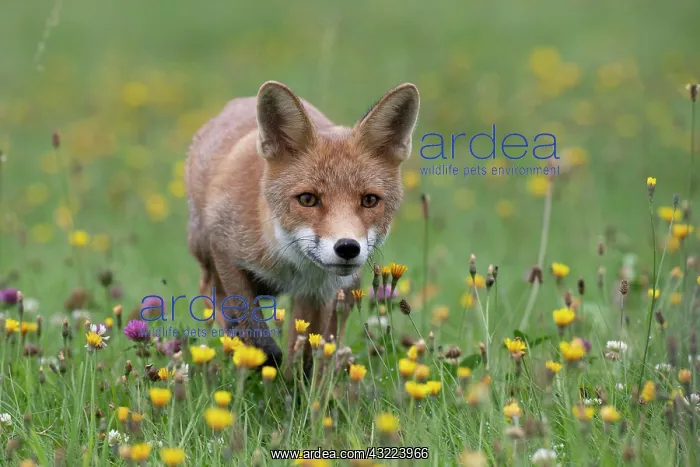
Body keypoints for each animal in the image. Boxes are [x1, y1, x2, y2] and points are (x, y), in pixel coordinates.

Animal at [185, 80, 420, 376]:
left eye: (369, 200)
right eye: (307, 199)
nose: (347, 248)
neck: (288, 263)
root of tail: (237, 102)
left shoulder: (317, 293)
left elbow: (311, 352)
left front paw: (299, 383)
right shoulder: (225, 248)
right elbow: (248, 317)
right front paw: (260, 356)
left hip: (344, 288)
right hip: (204, 249)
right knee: (209, 291)